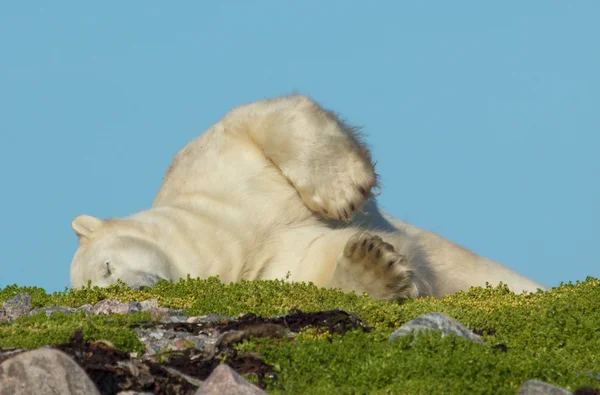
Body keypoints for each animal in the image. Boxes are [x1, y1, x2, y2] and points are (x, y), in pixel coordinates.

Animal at [68, 95, 548, 300]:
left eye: (106, 267)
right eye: (96, 291)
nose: (127, 293)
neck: (226, 238)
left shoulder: (210, 168)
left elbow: (264, 116)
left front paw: (341, 190)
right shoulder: (264, 268)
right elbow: (315, 260)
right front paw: (374, 266)